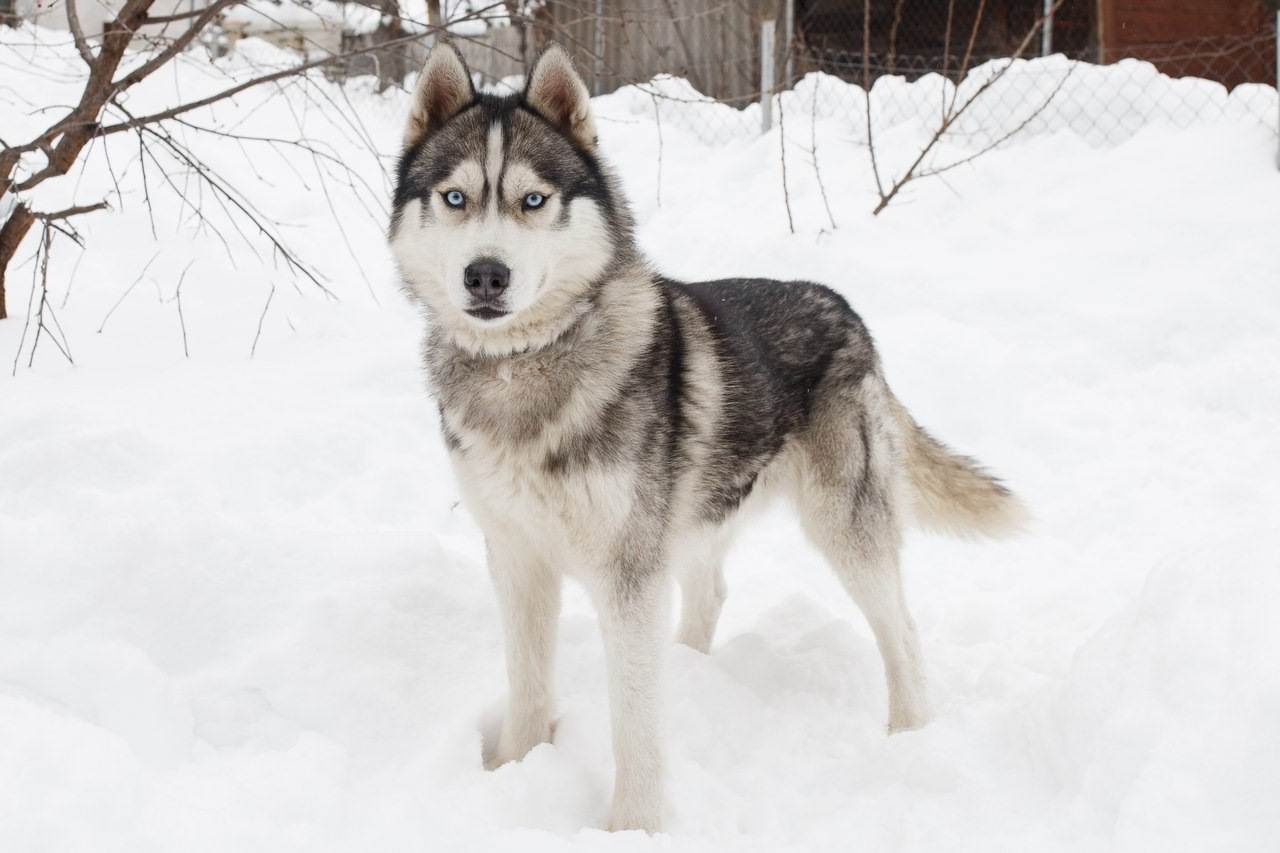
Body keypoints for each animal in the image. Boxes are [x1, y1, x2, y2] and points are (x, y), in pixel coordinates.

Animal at [389, 43, 1029, 824]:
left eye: (532, 200)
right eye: (454, 198)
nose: (486, 275)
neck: (524, 369)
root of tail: (844, 307)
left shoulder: (627, 577)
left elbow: (634, 720)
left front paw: (634, 825)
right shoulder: (516, 558)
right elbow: (528, 684)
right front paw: (514, 770)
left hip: (844, 527)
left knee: (900, 631)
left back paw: (909, 736)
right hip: (699, 513)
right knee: (711, 593)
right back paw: (693, 668)